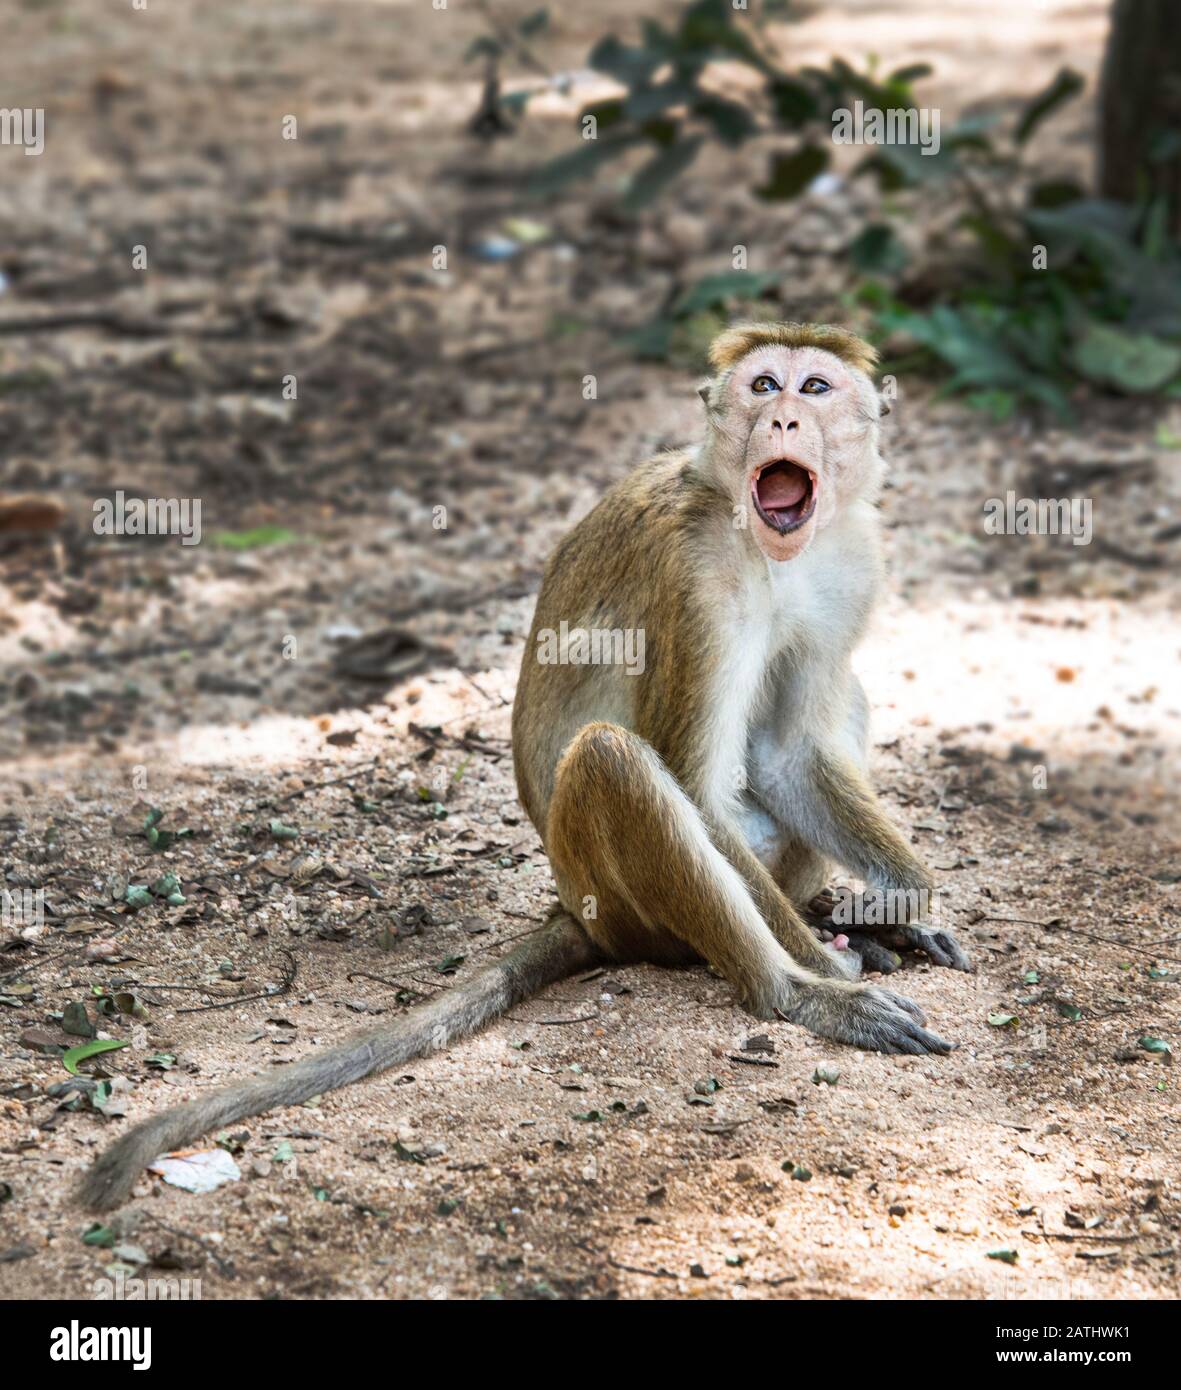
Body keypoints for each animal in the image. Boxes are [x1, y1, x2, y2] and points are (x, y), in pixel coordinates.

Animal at [78, 320, 969, 1212]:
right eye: (762, 386)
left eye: (813, 387)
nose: (782, 419)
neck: (771, 547)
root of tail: (574, 912)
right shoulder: (696, 573)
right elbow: (698, 785)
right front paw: (823, 971)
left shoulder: (853, 561)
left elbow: (790, 754)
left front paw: (901, 903)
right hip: (626, 910)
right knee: (614, 760)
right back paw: (793, 991)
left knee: (833, 706)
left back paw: (838, 916)